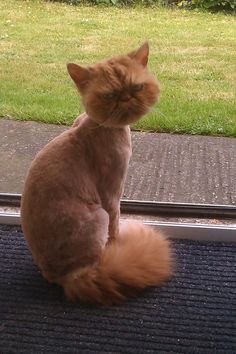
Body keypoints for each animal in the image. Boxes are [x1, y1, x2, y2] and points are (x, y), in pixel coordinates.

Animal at [21, 42, 173, 304]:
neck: (96, 126)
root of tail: (67, 279)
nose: (127, 98)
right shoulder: (111, 195)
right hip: (98, 216)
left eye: (136, 87)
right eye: (110, 95)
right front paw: (119, 245)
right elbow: (116, 228)